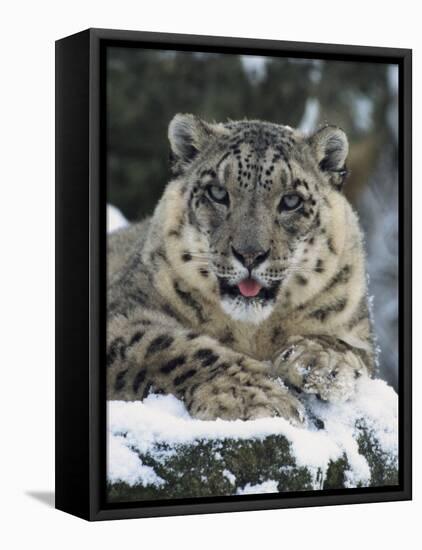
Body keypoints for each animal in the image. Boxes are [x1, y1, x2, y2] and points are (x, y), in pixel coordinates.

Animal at [107, 114, 374, 424]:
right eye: (217, 192)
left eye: (291, 200)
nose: (250, 254)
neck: (252, 332)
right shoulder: (123, 314)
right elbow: (170, 346)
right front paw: (255, 396)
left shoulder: (356, 327)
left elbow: (347, 345)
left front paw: (319, 363)